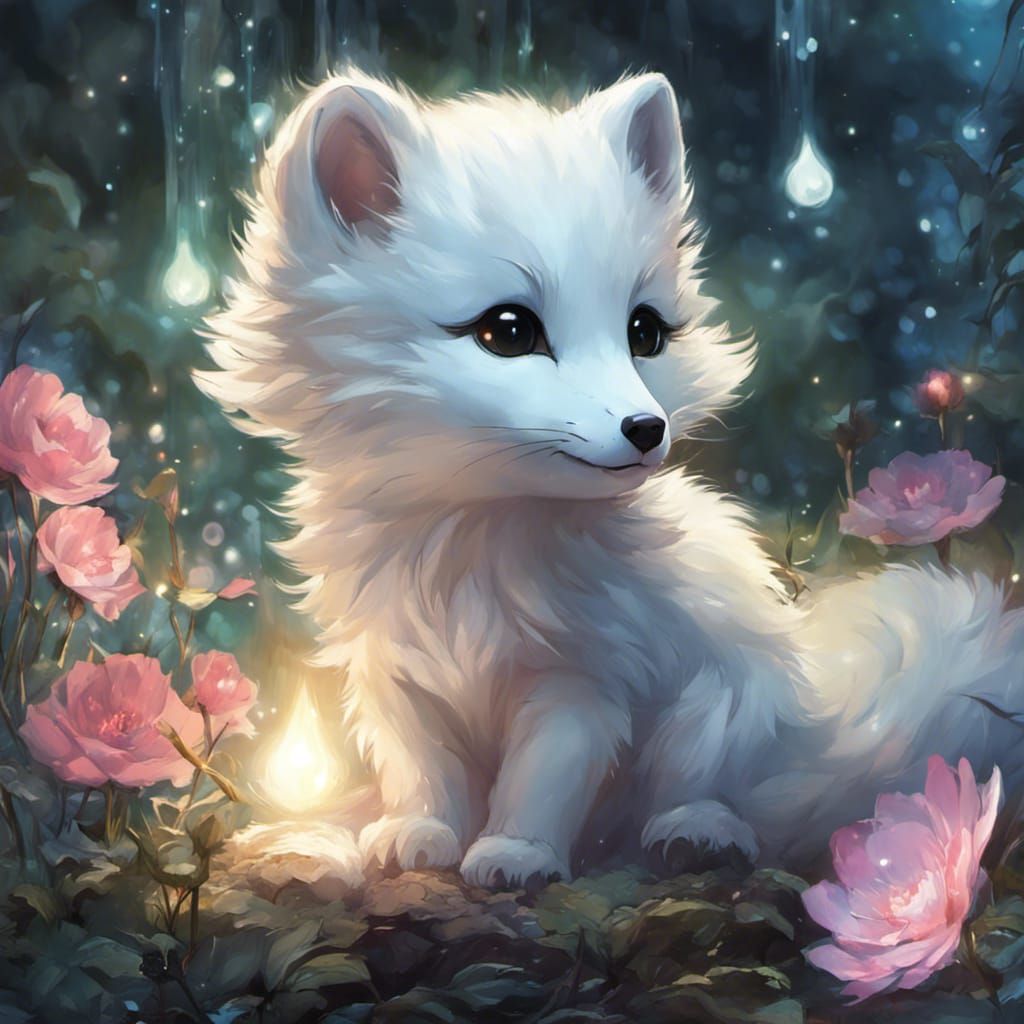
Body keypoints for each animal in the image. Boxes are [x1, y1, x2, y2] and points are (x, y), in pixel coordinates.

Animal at [198, 69, 1024, 888]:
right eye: (508, 331)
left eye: (644, 332)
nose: (646, 429)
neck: (472, 541)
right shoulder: (397, 675)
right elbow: (422, 769)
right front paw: (418, 833)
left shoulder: (586, 681)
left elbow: (544, 776)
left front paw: (516, 853)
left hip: (720, 707)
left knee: (712, 795)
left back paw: (696, 832)